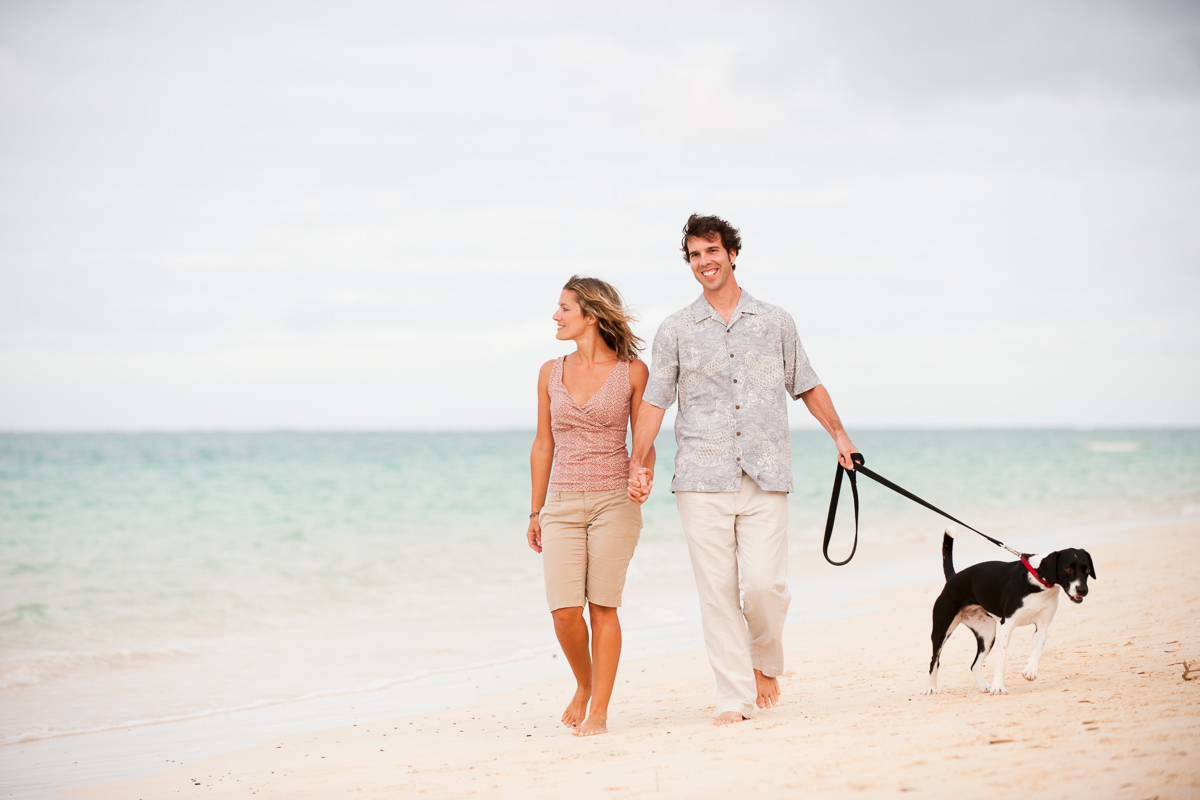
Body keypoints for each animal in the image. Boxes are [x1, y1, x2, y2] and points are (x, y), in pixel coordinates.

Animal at [926, 532, 1099, 695]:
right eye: (1068, 569)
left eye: (1087, 570)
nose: (1082, 590)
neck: (1037, 582)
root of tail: (953, 578)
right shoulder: (1006, 626)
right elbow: (1001, 660)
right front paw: (998, 687)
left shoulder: (1042, 627)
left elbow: (1038, 649)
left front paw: (1030, 670)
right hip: (942, 631)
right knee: (935, 660)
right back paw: (931, 688)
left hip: (987, 635)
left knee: (974, 665)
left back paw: (984, 686)